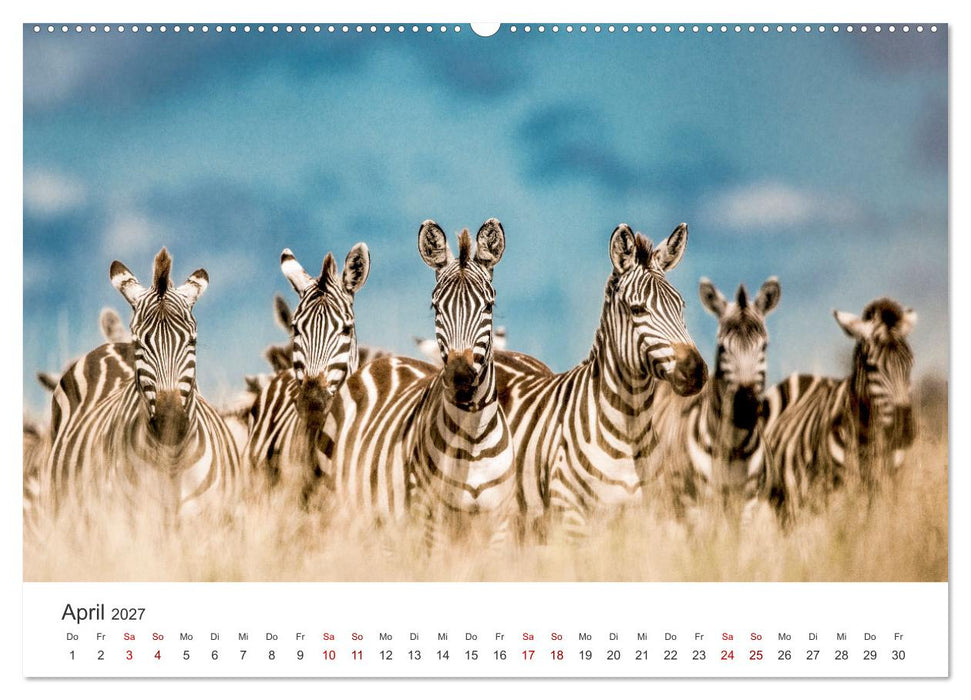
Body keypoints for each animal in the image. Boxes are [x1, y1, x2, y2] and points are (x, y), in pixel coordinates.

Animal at [321, 219, 516, 551]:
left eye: (489, 306)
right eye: (436, 307)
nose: (460, 378)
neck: (473, 438)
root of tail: (386, 362)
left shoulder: (499, 525)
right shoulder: (431, 522)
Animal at [495, 222, 708, 540]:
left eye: (681, 306)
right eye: (637, 310)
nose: (695, 371)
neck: (631, 429)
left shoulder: (646, 517)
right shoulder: (572, 518)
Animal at [646, 277, 781, 521]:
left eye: (764, 346)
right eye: (722, 347)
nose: (745, 407)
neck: (733, 448)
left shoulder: (748, 505)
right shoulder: (695, 506)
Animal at [762, 297, 917, 518]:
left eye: (909, 363)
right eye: (871, 366)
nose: (903, 430)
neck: (865, 441)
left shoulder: (886, 486)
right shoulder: (834, 493)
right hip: (782, 494)